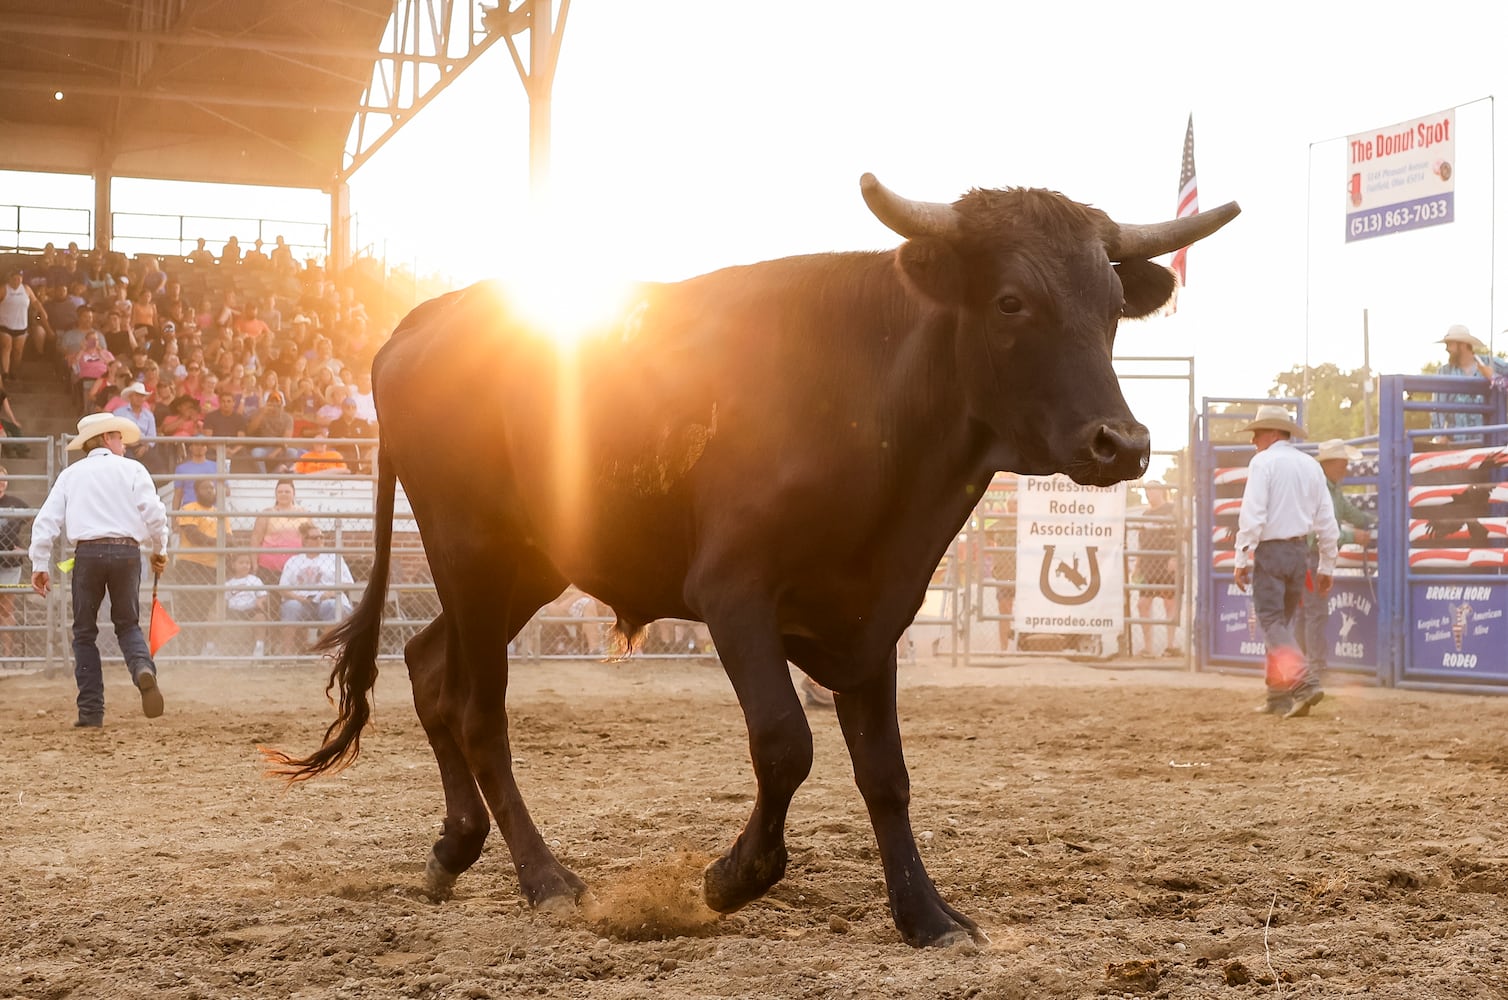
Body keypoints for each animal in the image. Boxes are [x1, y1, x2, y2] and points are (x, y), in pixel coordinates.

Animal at [271, 175, 1236, 953]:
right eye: (1010, 301)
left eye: (1110, 307)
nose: (1122, 442)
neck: (872, 402)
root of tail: (419, 323)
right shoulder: (735, 595)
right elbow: (784, 742)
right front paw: (731, 877)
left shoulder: (874, 611)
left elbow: (886, 774)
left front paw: (926, 916)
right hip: (467, 547)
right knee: (478, 709)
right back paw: (544, 879)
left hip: (530, 565)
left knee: (429, 667)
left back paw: (454, 848)